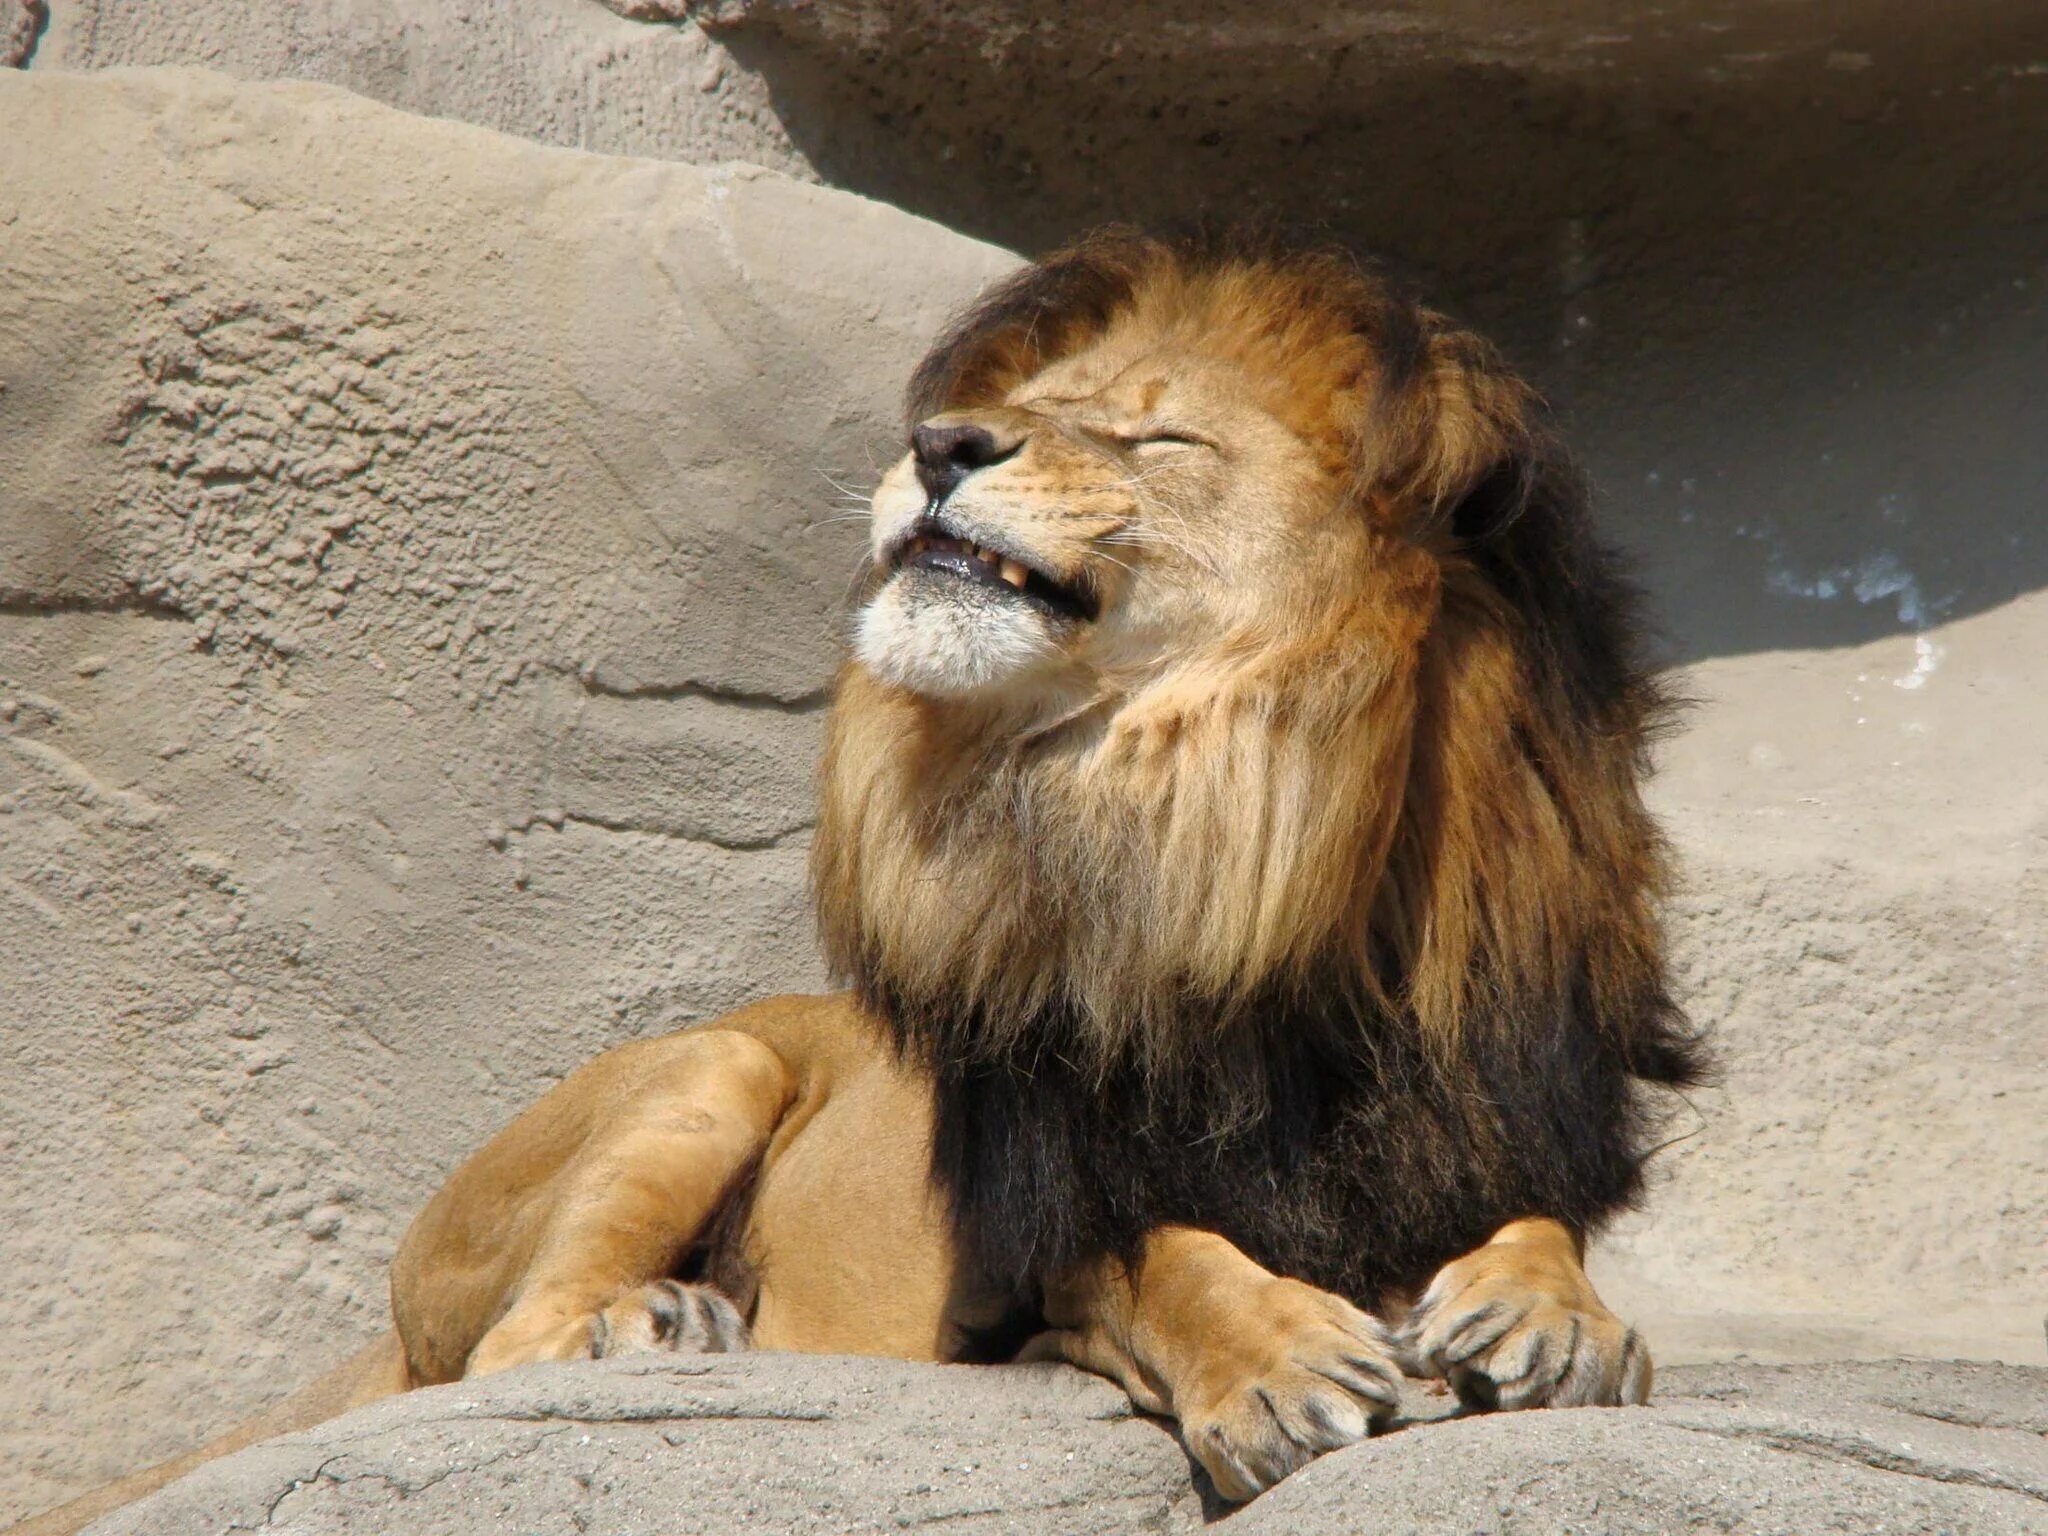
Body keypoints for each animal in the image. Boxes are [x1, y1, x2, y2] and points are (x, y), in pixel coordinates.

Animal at [24, 228, 1703, 1536]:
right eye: (1019, 414)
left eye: (1157, 442)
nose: (946, 445)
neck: (1219, 845)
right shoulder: (1029, 1249)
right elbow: (1159, 1259)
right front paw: (1279, 1366)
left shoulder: (1473, 1116)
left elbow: (1543, 1232)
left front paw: (1555, 1322)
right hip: (705, 1069)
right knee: (508, 1350)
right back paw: (656, 1321)